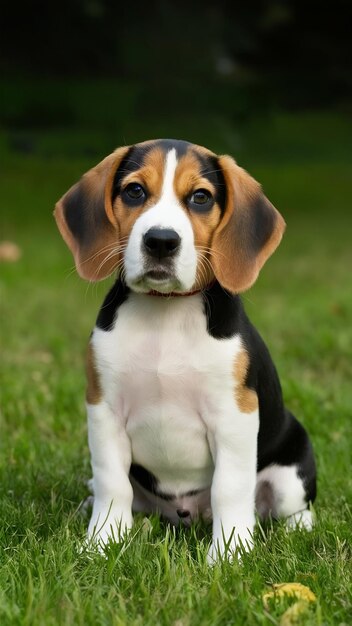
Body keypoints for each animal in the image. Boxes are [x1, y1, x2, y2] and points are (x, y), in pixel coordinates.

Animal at [55, 139, 316, 560]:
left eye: (200, 197)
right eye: (134, 191)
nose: (161, 240)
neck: (165, 312)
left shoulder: (234, 414)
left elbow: (230, 488)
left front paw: (229, 554)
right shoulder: (104, 408)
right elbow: (112, 482)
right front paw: (102, 541)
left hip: (291, 466)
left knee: (292, 507)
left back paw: (299, 529)